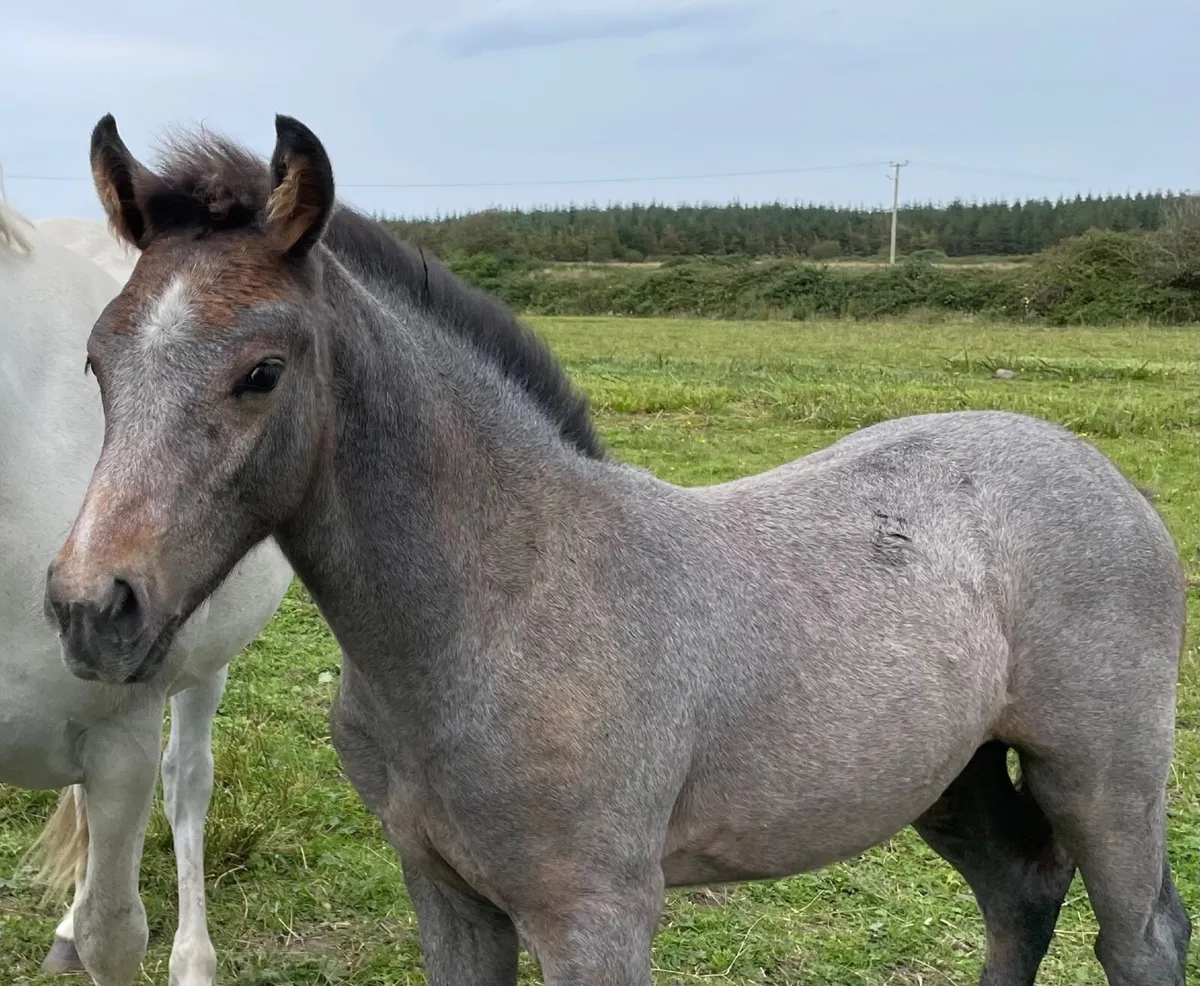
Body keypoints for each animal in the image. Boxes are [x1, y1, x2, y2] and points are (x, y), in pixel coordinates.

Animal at [43, 113, 1191, 986]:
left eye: (262, 372)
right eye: (98, 360)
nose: (92, 608)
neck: (500, 608)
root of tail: (1105, 475)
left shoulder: (596, 915)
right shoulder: (444, 892)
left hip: (1105, 776)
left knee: (1136, 938)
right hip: (949, 777)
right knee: (1020, 895)